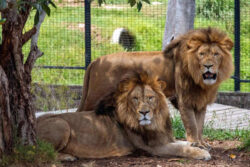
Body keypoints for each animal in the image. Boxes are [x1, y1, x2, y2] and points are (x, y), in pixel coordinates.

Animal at [36, 72, 210, 161]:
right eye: (135, 99)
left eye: (150, 98)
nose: (144, 112)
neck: (156, 121)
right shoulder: (153, 148)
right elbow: (180, 148)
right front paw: (202, 153)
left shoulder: (164, 139)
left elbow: (182, 142)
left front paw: (200, 145)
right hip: (61, 124)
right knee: (44, 152)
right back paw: (67, 157)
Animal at [78, 27, 234, 149]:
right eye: (201, 54)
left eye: (216, 54)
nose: (208, 66)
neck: (199, 79)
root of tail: (95, 61)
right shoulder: (185, 100)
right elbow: (192, 124)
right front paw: (195, 144)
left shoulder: (200, 102)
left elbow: (200, 124)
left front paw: (202, 143)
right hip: (94, 97)